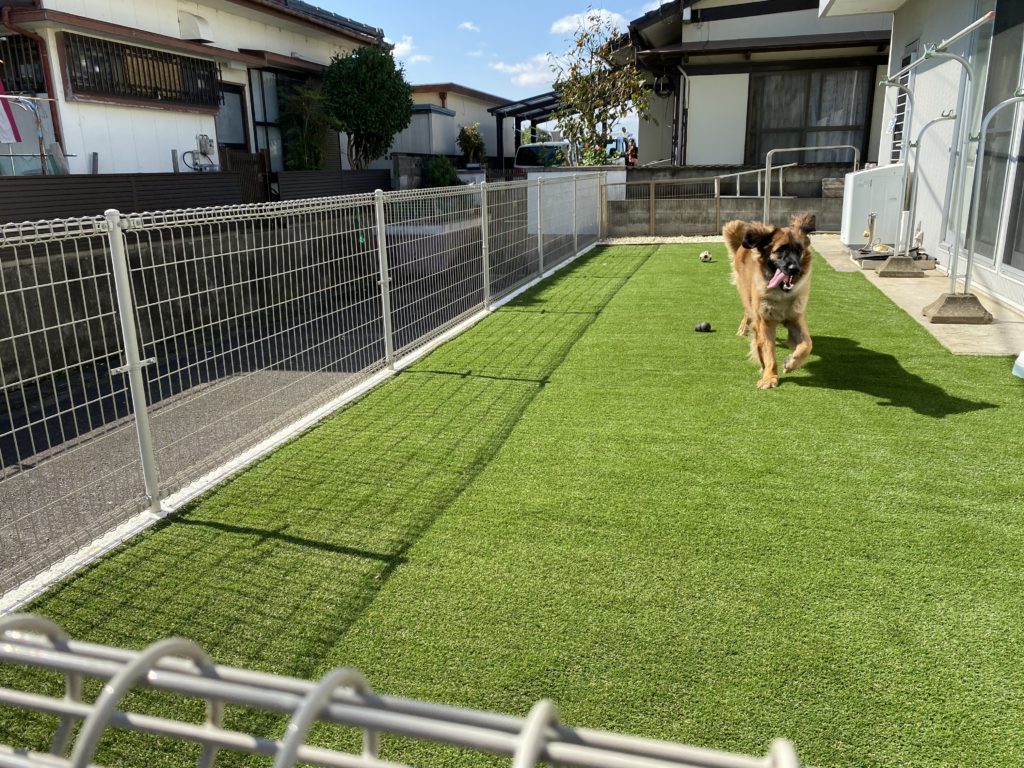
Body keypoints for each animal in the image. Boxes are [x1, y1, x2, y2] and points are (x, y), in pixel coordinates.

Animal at [724, 214, 819, 387]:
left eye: (799, 250)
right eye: (780, 250)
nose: (794, 269)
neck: (781, 294)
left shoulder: (796, 318)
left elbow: (807, 344)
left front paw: (791, 363)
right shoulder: (764, 321)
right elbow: (768, 351)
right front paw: (769, 377)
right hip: (747, 295)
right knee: (748, 313)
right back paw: (743, 329)